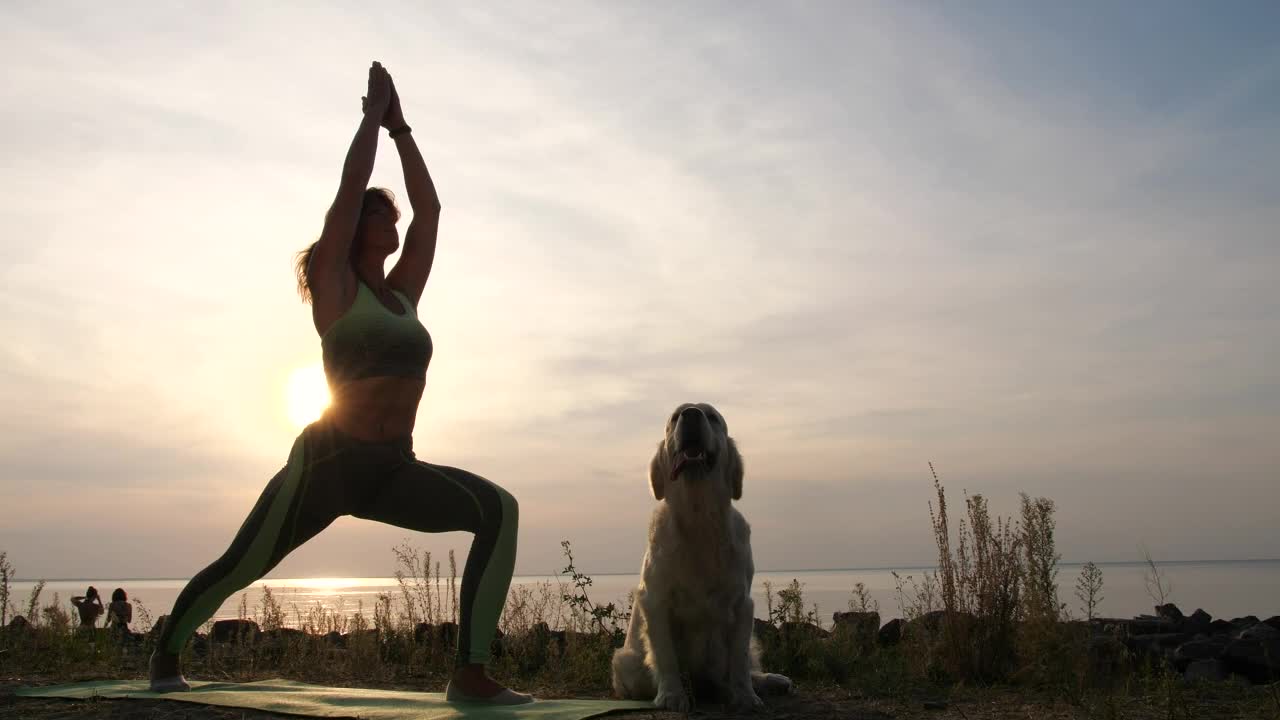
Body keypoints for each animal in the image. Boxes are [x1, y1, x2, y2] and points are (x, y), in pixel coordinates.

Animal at [609, 399, 788, 707]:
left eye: (712, 417)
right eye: (674, 418)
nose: (691, 414)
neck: (699, 516)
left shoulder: (742, 603)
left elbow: (739, 659)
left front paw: (745, 696)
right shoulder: (656, 601)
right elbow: (666, 656)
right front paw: (671, 695)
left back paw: (770, 681)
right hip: (626, 664)